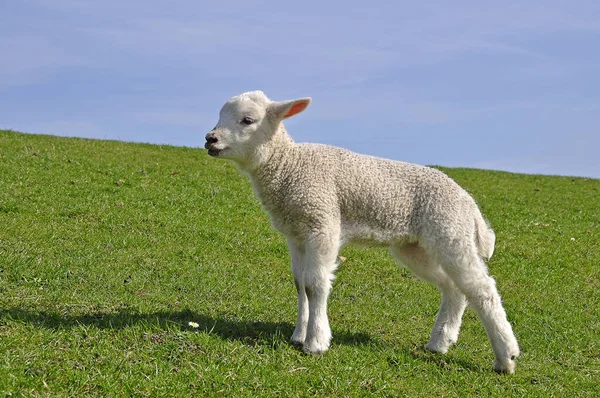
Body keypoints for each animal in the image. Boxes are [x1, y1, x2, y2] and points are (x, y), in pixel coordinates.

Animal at [203, 90, 520, 374]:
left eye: (247, 120)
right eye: (220, 116)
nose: (210, 139)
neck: (289, 166)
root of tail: (469, 203)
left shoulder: (323, 222)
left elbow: (315, 284)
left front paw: (315, 342)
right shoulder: (295, 234)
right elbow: (300, 284)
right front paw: (298, 335)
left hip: (450, 230)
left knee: (482, 289)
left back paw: (506, 357)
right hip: (416, 246)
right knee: (454, 287)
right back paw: (440, 342)